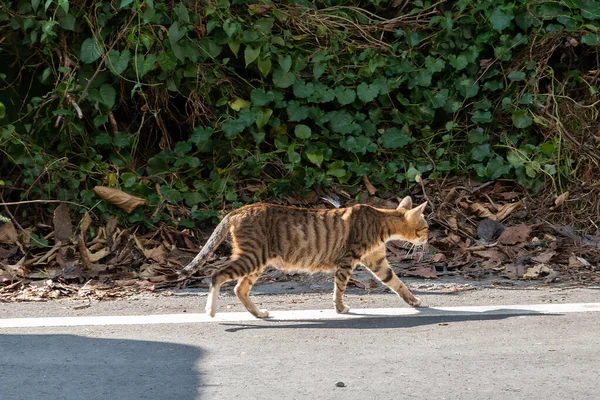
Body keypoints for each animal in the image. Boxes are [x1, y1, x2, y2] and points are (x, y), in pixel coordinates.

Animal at [178, 196, 426, 318]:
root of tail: (239, 209)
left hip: (258, 260)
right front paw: (340, 308)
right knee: (216, 275)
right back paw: (211, 311)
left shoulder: (377, 261)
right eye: (425, 227)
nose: (427, 238)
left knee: (240, 288)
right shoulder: (348, 260)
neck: (381, 221)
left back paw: (259, 314)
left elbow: (397, 283)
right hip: (253, 257)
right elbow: (340, 288)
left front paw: (413, 301)